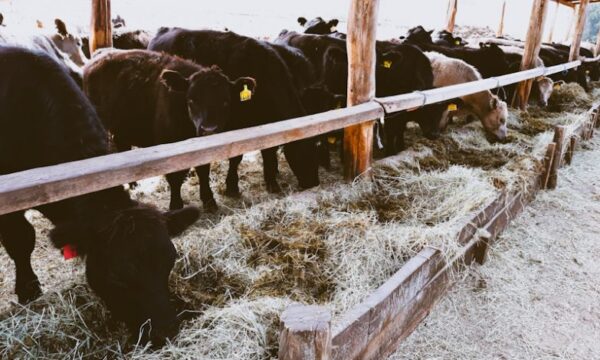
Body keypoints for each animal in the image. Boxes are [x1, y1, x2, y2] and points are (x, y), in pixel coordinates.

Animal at [82, 48, 255, 210]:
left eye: (226, 101)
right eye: (191, 100)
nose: (209, 130)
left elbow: (203, 171)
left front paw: (209, 201)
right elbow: (175, 178)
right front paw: (176, 206)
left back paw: (133, 184)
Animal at [148, 28, 322, 197]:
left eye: (318, 152)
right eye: (302, 153)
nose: (313, 183)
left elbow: (269, 152)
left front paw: (272, 182)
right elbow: (237, 157)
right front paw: (232, 186)